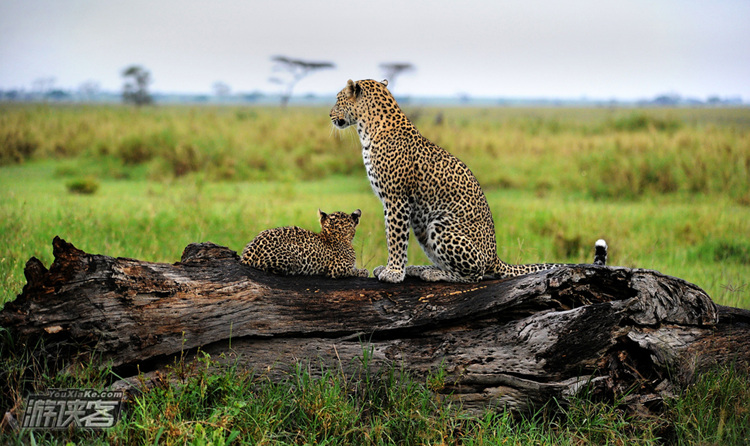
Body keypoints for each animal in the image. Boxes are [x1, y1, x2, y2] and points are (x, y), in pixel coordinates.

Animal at [330, 77, 604, 282]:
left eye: (337, 99)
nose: (330, 114)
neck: (367, 128)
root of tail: (494, 256)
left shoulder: (396, 200)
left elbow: (395, 238)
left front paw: (394, 272)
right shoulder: (394, 202)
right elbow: (393, 236)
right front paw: (395, 270)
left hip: (440, 224)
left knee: (475, 275)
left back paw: (433, 274)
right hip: (423, 226)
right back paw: (422, 269)